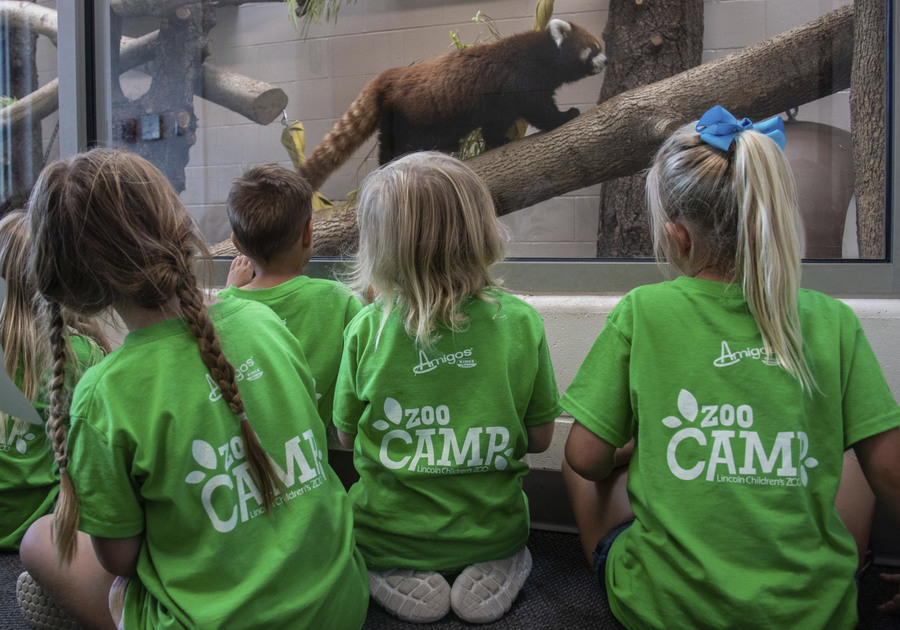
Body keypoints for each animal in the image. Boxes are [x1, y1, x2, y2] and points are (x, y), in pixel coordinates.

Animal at [300, 20, 604, 193]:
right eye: (595, 49)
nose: (607, 61)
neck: (543, 52)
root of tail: (388, 75)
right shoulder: (522, 74)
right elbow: (537, 107)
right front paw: (564, 116)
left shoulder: (499, 102)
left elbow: (497, 122)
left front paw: (497, 141)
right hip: (406, 114)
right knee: (394, 142)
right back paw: (391, 161)